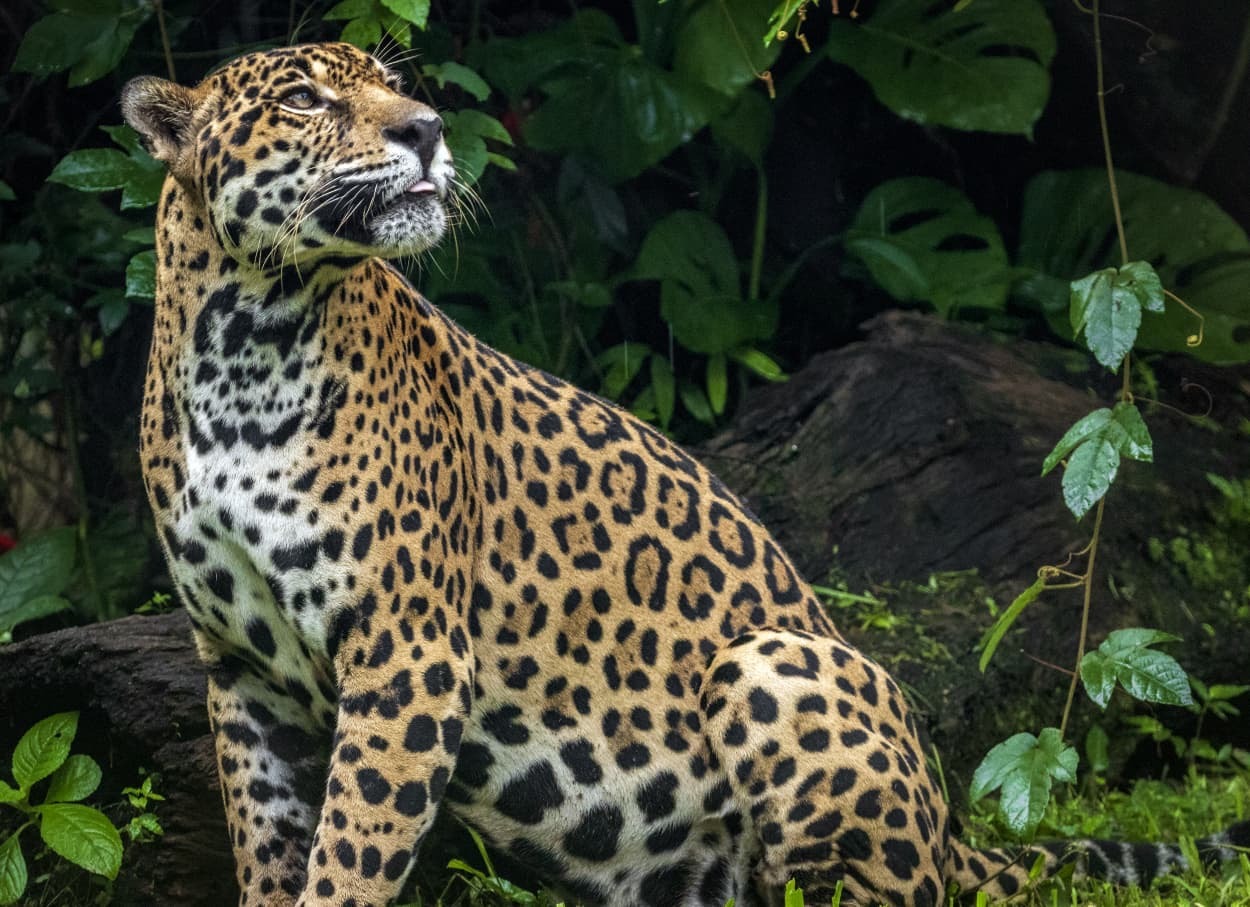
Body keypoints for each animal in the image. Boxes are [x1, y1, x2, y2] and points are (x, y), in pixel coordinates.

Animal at [121, 41, 1248, 907]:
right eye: (305, 98)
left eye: (394, 86)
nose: (429, 130)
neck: (246, 340)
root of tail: (949, 830)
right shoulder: (240, 671)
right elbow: (269, 844)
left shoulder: (407, 656)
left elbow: (350, 855)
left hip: (774, 667)